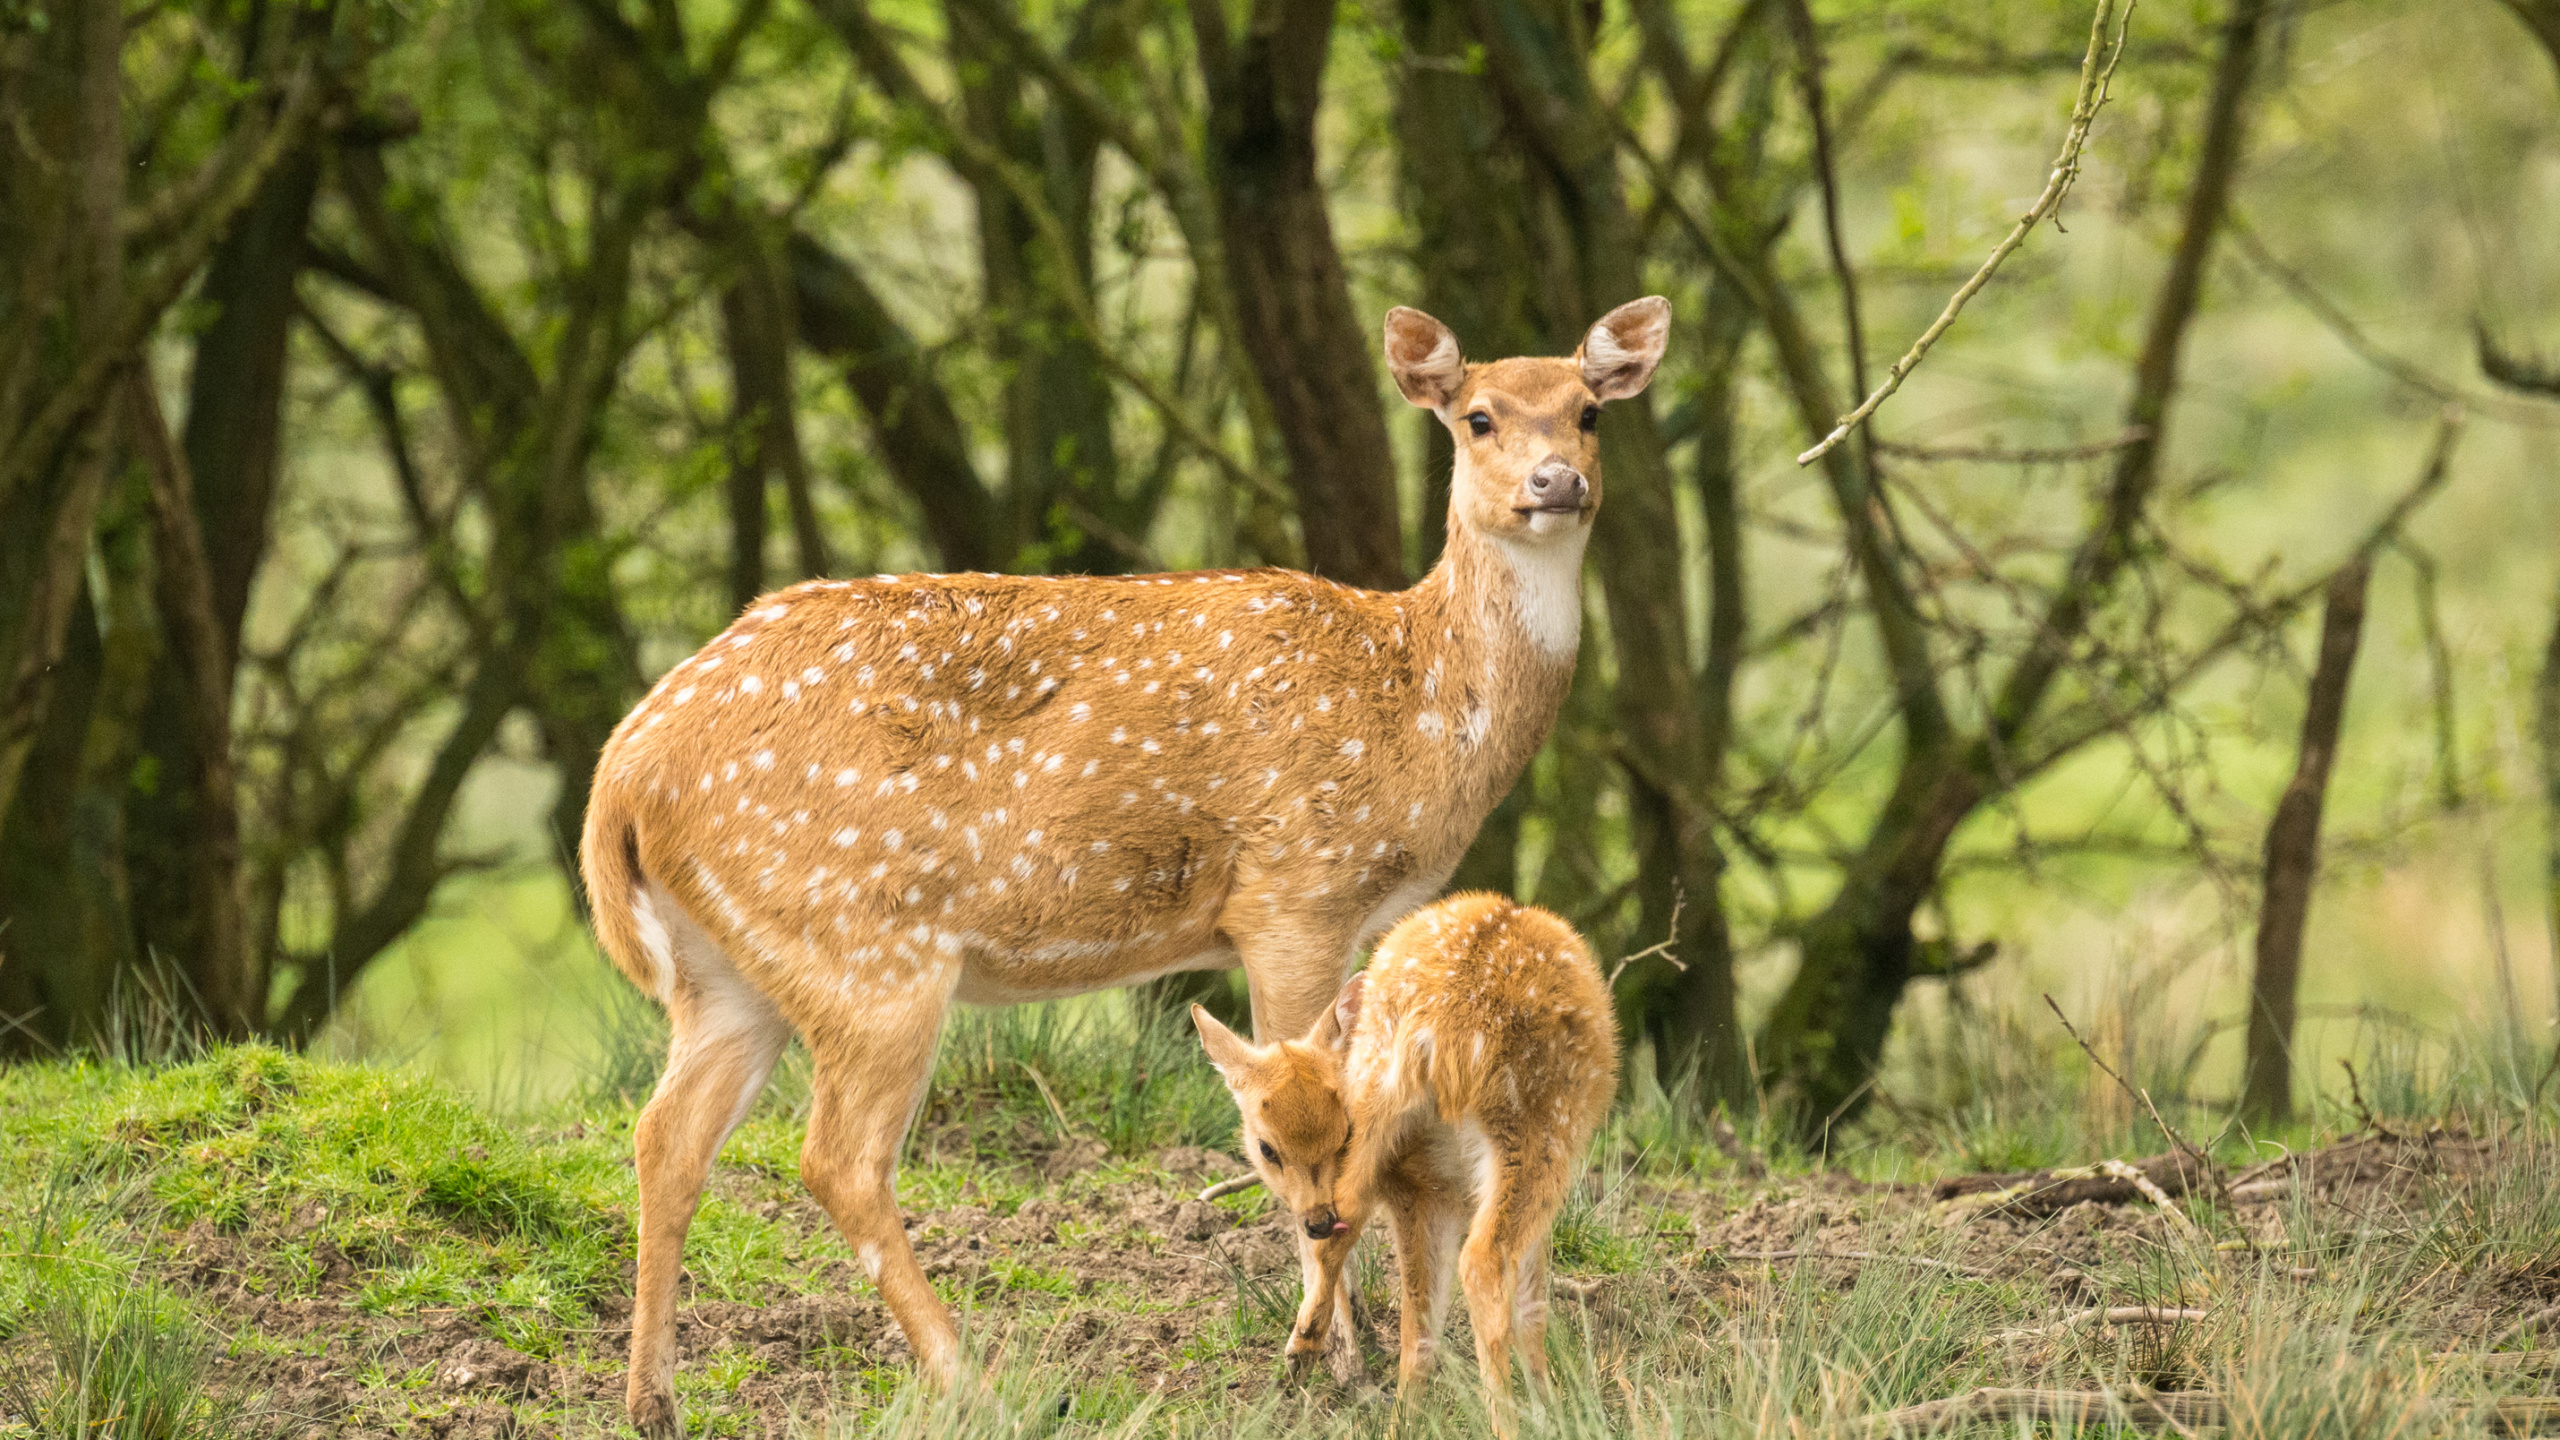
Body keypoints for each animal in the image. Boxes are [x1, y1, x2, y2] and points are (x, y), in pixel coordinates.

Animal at [1182, 886, 1617, 1424]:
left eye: (1339, 1134)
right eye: (1267, 1149)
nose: (1313, 1219)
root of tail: (1440, 1024)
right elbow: (1533, 1303)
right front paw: (1553, 1406)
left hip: (1390, 1128)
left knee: (1371, 1254)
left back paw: (1312, 1355)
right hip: (1539, 1127)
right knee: (1485, 1263)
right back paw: (1511, 1419)